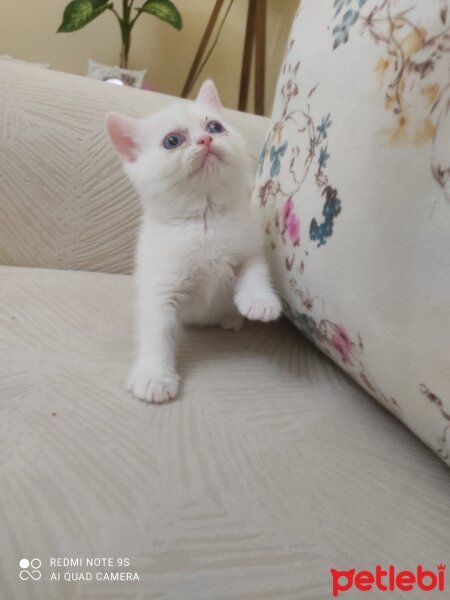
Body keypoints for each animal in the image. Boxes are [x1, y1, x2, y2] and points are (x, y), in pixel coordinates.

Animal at [106, 79, 282, 404]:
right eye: (172, 141)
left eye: (215, 126)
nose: (206, 140)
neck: (206, 219)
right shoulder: (160, 287)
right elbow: (157, 332)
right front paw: (154, 376)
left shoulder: (249, 247)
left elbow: (254, 272)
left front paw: (259, 301)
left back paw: (231, 318)